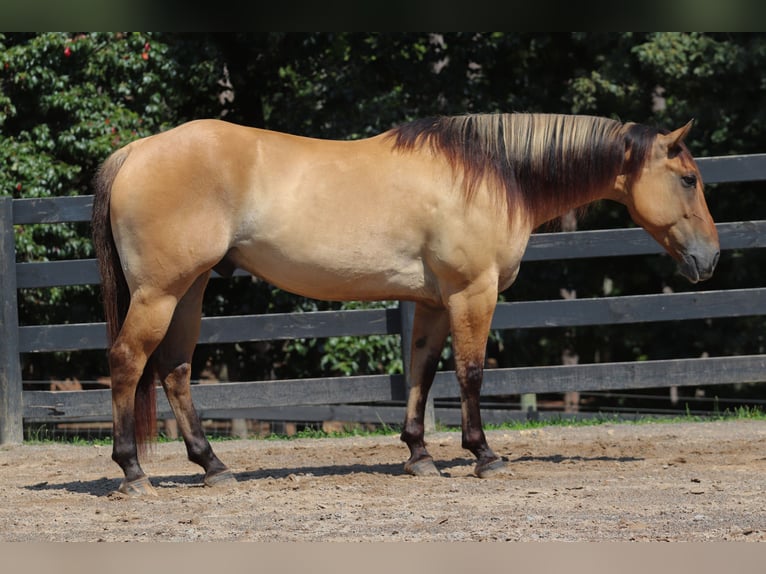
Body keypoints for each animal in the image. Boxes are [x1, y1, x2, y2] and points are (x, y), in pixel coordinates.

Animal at [93, 112, 724, 496]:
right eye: (689, 179)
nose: (711, 258)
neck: (490, 173)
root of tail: (135, 152)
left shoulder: (434, 301)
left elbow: (421, 369)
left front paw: (419, 455)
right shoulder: (473, 291)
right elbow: (470, 373)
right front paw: (483, 455)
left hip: (189, 290)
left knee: (174, 370)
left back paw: (213, 466)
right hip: (160, 292)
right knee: (126, 362)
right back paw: (132, 472)